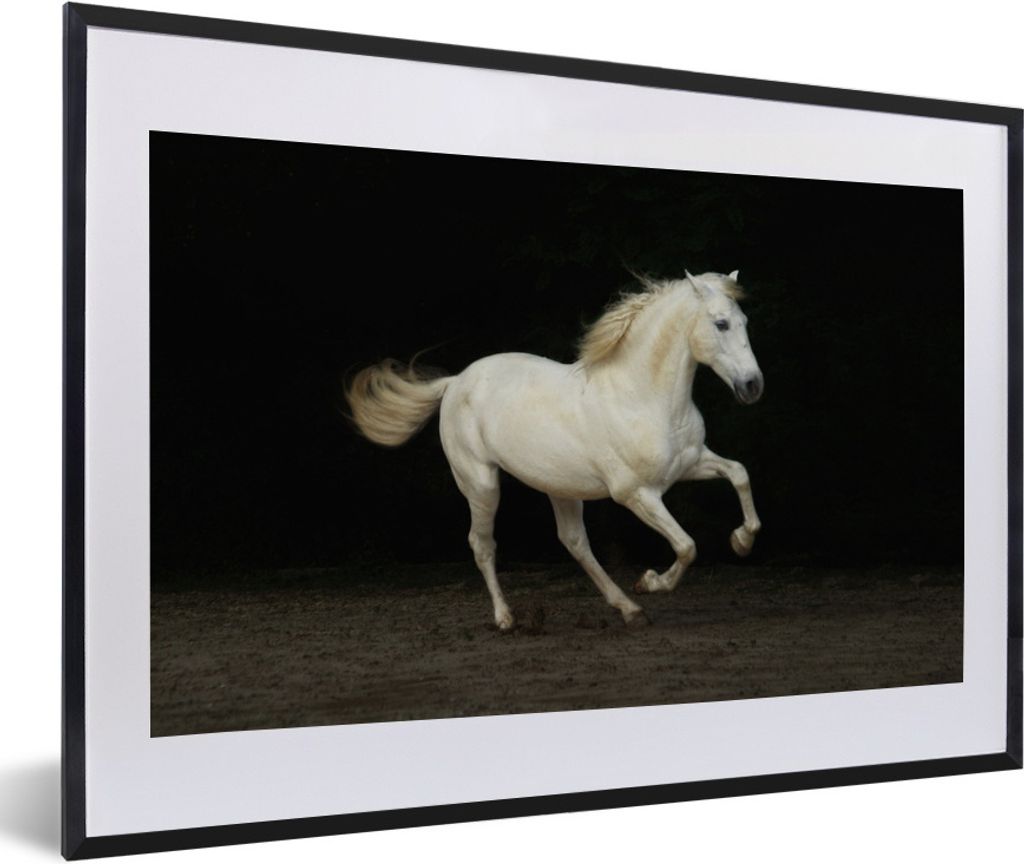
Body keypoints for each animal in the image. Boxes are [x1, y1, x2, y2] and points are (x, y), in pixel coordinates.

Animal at [344, 270, 763, 630]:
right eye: (721, 324)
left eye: (745, 321)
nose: (752, 386)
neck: (641, 396)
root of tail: (455, 382)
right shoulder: (636, 494)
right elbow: (687, 545)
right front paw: (650, 581)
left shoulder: (690, 463)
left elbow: (740, 474)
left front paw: (741, 542)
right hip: (480, 484)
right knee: (483, 544)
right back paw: (506, 618)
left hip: (560, 487)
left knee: (574, 542)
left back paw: (629, 610)